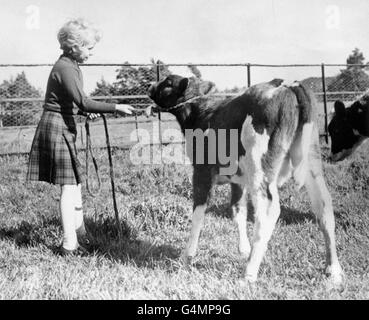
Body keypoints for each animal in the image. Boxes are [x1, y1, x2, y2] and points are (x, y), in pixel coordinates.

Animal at [148, 75, 344, 284]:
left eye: (168, 83)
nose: (150, 85)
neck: (201, 112)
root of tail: (287, 84)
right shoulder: (238, 179)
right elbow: (238, 211)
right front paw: (244, 250)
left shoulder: (202, 171)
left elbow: (198, 213)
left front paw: (187, 256)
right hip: (312, 161)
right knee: (324, 205)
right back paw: (333, 270)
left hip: (260, 168)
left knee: (268, 211)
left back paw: (249, 273)